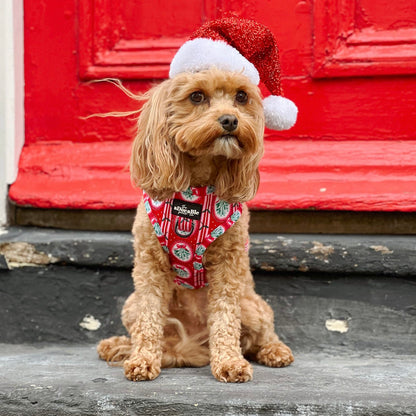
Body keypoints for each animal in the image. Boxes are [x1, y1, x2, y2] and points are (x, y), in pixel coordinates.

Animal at [96, 16, 298, 382]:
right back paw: (121, 345)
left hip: (253, 305)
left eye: (241, 96)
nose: (230, 120)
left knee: (259, 334)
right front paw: (142, 359)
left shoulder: (229, 267)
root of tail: (188, 339)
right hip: (131, 304)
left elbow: (226, 318)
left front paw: (230, 362)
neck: (196, 191)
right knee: (143, 325)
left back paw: (274, 351)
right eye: (197, 96)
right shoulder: (149, 265)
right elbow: (149, 318)